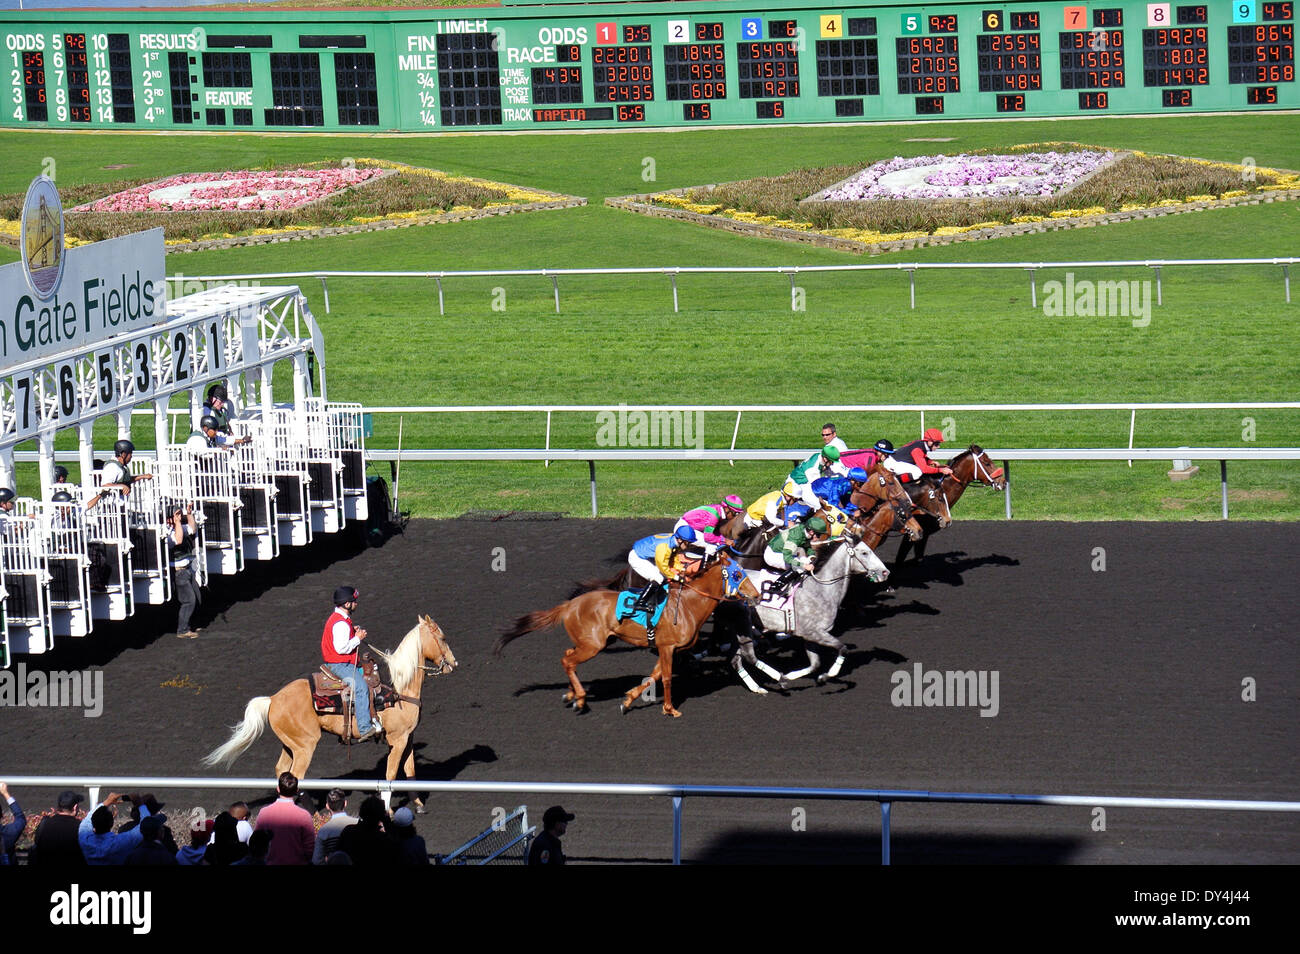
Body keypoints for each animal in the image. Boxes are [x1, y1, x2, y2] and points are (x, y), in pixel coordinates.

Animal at [205, 616, 460, 795]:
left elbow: (410, 772)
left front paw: (418, 806)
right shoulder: (397, 739)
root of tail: (273, 699)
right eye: (443, 638)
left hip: (289, 744)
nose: (454, 664)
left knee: (282, 771)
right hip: (305, 746)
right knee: (296, 775)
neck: (400, 690)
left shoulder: (408, 737)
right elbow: (389, 776)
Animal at [496, 556, 759, 722]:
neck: (687, 606)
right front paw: (670, 709)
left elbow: (653, 676)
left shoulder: (667, 648)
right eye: (737, 574)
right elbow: (665, 679)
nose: (756, 595)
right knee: (567, 661)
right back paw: (579, 698)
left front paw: (629, 700)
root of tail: (569, 604)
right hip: (593, 645)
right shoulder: (667, 647)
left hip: (592, 642)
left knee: (568, 656)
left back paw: (571, 694)